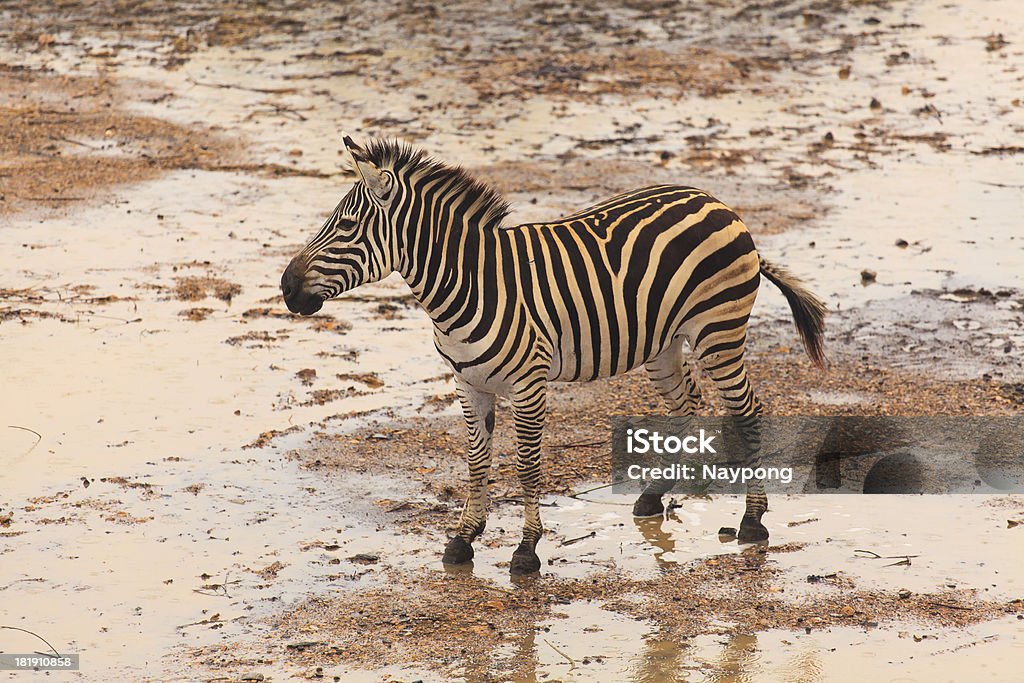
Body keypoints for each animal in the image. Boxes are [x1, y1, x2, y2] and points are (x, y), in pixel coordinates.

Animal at [284, 136, 827, 573]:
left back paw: (752, 520)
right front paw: (463, 539)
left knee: (748, 410)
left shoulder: (529, 383)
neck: (468, 284)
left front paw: (526, 549)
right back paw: (655, 495)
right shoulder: (467, 382)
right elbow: (476, 461)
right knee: (687, 403)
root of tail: (715, 200)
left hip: (718, 331)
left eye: (346, 227)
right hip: (663, 342)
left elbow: (527, 464)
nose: (286, 288)